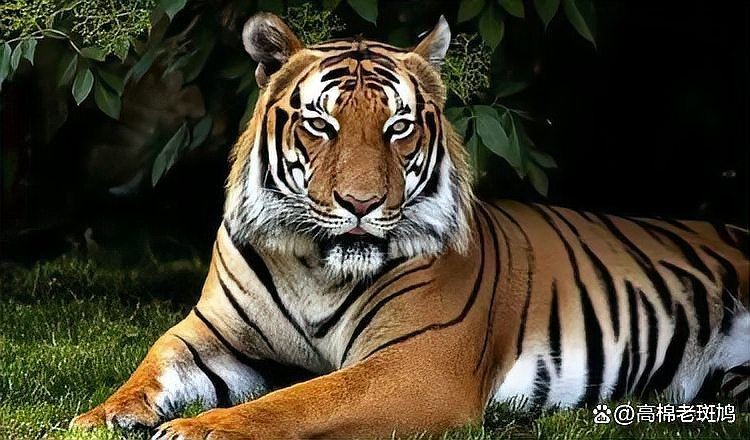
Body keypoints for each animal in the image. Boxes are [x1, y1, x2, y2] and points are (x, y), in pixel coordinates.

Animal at [71, 13, 750, 440]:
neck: (315, 266)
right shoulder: (211, 334)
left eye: (398, 127)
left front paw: (201, 428)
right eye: (320, 124)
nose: (360, 203)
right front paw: (100, 416)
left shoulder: (418, 364)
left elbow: (298, 400)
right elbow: (153, 364)